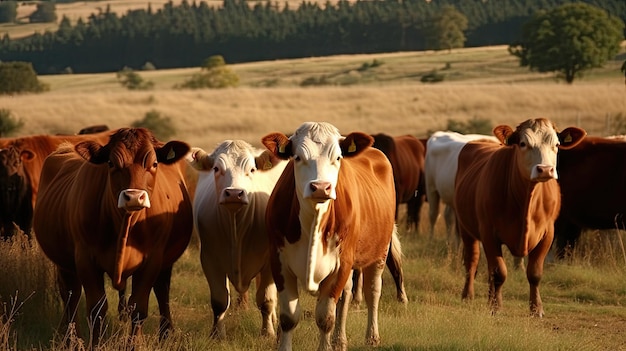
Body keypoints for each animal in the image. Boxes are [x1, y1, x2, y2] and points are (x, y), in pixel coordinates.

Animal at [31, 128, 191, 346]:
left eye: (154, 164)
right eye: (112, 163)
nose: (134, 197)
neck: (125, 225)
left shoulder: (153, 260)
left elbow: (138, 307)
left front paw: (134, 345)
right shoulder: (85, 258)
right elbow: (96, 309)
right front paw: (96, 344)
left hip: (165, 263)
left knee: (162, 291)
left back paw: (165, 335)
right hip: (64, 261)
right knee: (70, 295)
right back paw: (71, 339)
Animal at [184, 141, 284, 340]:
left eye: (252, 169)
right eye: (216, 168)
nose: (234, 193)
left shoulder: (270, 261)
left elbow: (266, 300)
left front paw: (267, 333)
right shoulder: (209, 260)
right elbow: (220, 300)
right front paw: (217, 334)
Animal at [260, 122, 398, 351]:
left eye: (338, 157)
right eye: (297, 157)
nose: (320, 187)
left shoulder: (341, 265)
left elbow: (325, 317)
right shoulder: (279, 261)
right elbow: (289, 317)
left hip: (379, 251)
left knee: (372, 291)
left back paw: (372, 336)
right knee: (347, 294)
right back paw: (339, 340)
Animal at [450, 119, 584, 320]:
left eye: (556, 144)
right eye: (523, 143)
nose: (545, 169)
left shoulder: (548, 234)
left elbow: (534, 273)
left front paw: (536, 308)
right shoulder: (489, 233)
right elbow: (499, 272)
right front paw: (496, 307)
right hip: (466, 228)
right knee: (472, 261)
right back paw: (468, 295)